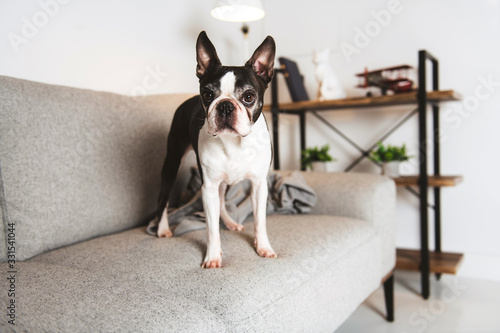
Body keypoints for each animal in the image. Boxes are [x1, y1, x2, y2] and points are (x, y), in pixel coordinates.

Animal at [154, 31, 276, 268]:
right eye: (208, 95)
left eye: (248, 97)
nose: (225, 105)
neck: (235, 142)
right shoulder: (207, 187)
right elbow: (211, 229)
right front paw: (212, 257)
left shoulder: (258, 185)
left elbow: (260, 221)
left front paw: (264, 247)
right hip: (171, 163)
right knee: (164, 198)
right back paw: (162, 229)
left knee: (221, 202)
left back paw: (230, 223)